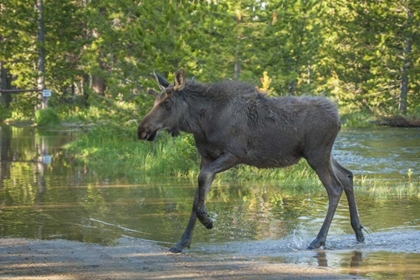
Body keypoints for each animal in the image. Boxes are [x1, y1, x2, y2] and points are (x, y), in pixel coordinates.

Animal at [138, 69, 364, 253]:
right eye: (155, 101)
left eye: (166, 103)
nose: (142, 130)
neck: (201, 123)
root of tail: (338, 118)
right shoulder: (206, 157)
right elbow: (196, 197)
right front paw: (182, 242)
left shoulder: (234, 154)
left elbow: (201, 181)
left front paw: (208, 221)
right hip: (325, 154)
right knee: (347, 176)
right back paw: (358, 232)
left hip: (317, 154)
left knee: (334, 187)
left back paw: (319, 240)